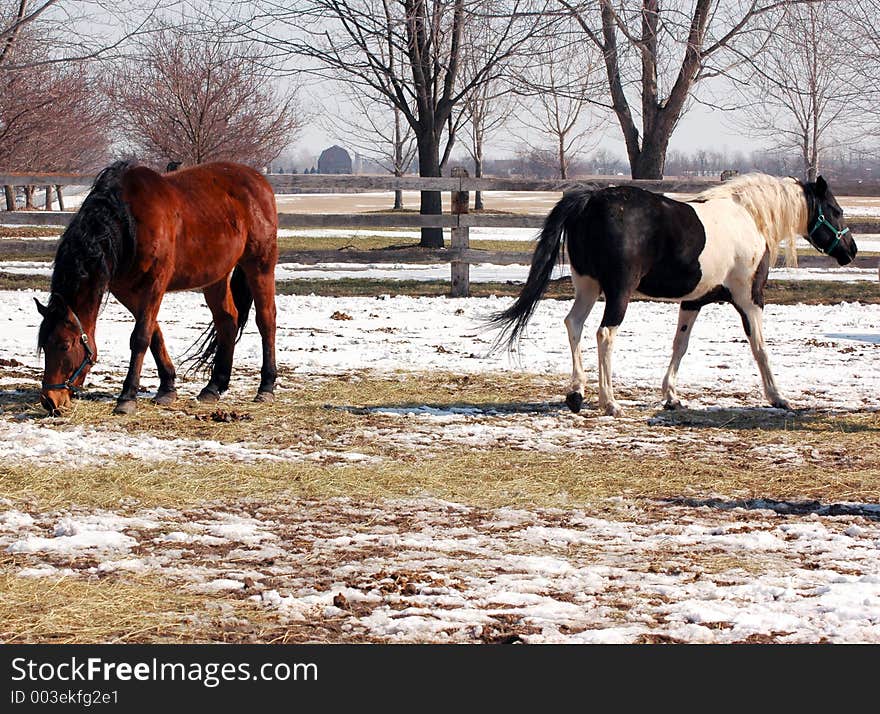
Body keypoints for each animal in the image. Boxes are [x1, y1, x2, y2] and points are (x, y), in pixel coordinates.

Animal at [36, 162, 276, 414]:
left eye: (64, 345)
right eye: (44, 345)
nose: (50, 400)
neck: (127, 222)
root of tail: (258, 179)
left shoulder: (154, 284)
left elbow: (141, 337)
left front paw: (127, 396)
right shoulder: (127, 291)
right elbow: (154, 334)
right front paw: (167, 387)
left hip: (260, 265)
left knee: (266, 320)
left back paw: (266, 386)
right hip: (215, 277)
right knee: (227, 321)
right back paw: (213, 387)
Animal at [492, 172, 856, 414]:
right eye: (836, 211)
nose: (850, 251)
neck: (749, 217)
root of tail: (590, 201)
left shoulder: (693, 302)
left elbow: (680, 346)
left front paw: (671, 396)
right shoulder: (750, 300)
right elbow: (760, 348)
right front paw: (778, 396)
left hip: (587, 286)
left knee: (574, 325)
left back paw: (576, 395)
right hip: (618, 294)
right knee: (604, 334)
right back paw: (610, 402)